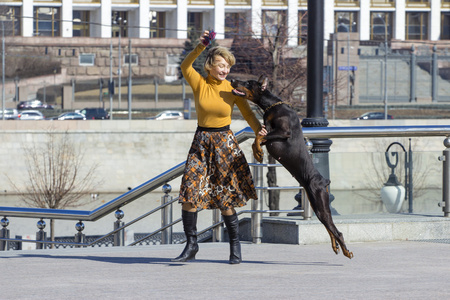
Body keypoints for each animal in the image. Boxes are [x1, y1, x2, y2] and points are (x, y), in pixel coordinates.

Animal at [232, 76, 356, 258]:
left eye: (248, 83)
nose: (232, 80)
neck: (272, 105)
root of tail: (324, 181)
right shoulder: (268, 132)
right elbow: (258, 137)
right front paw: (258, 152)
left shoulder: (283, 132)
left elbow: (259, 139)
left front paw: (258, 153)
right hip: (317, 205)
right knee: (329, 227)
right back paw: (335, 247)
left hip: (320, 202)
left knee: (336, 230)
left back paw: (346, 251)